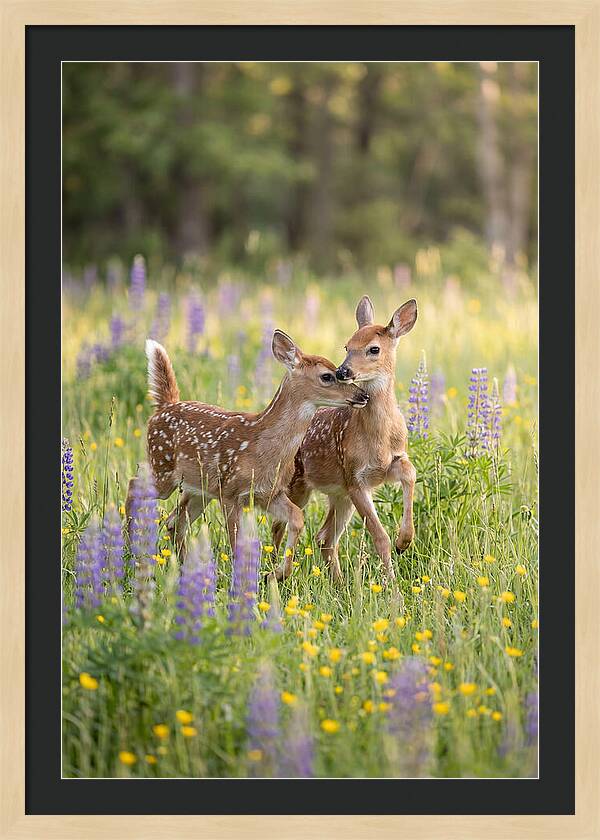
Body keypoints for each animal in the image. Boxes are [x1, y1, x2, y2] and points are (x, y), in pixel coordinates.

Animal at [126, 332, 369, 579]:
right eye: (327, 376)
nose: (363, 395)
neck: (262, 447)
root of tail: (164, 406)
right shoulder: (230, 493)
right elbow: (236, 544)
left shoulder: (269, 493)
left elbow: (297, 518)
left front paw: (276, 574)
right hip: (163, 468)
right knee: (135, 484)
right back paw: (129, 546)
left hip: (199, 490)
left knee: (175, 521)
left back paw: (185, 570)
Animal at [272, 297, 418, 583]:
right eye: (347, 346)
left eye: (374, 349)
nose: (342, 371)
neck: (379, 438)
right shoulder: (354, 478)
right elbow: (379, 537)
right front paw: (392, 585)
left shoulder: (388, 465)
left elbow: (410, 472)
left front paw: (404, 541)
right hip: (298, 485)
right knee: (278, 527)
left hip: (338, 495)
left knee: (324, 537)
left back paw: (338, 583)